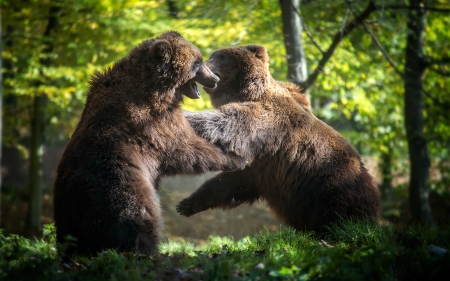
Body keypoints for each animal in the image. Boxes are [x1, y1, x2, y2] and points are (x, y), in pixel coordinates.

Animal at [55, 31, 250, 256]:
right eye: (197, 62)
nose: (215, 79)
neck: (157, 88)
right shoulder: (151, 122)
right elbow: (185, 149)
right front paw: (237, 159)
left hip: (69, 210)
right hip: (120, 181)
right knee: (137, 216)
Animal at [178, 44, 382, 233]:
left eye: (222, 56)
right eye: (213, 55)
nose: (204, 65)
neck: (248, 92)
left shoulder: (269, 122)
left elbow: (229, 122)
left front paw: (187, 116)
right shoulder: (259, 166)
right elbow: (230, 183)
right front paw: (187, 204)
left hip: (330, 185)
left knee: (337, 214)